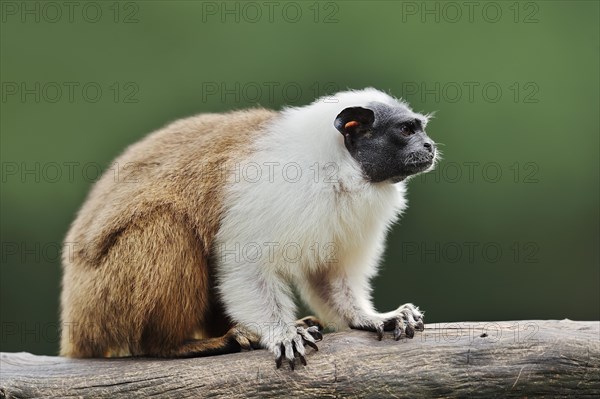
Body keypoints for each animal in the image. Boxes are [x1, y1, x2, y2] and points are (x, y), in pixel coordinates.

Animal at [59, 87, 436, 368]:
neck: (335, 168)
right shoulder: (277, 184)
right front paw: (281, 333)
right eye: (406, 130)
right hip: (104, 299)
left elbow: (328, 275)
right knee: (168, 223)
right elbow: (244, 264)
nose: (430, 146)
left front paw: (372, 318)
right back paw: (177, 345)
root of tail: (76, 327)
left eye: (421, 129)